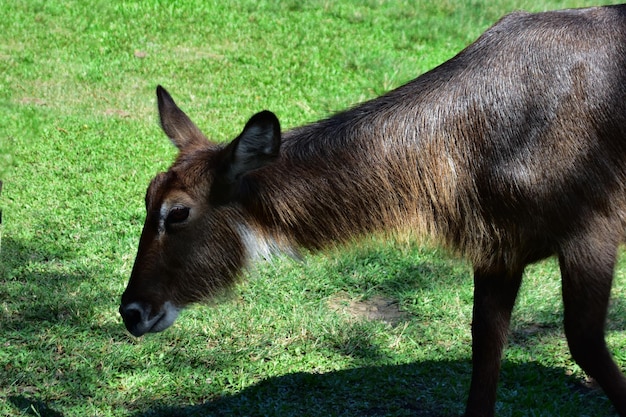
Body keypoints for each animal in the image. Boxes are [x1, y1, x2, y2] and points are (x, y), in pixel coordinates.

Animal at [119, 4, 624, 416]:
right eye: (147, 197)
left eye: (177, 213)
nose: (131, 311)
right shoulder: (499, 251)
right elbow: (485, 349)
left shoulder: (593, 232)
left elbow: (585, 342)